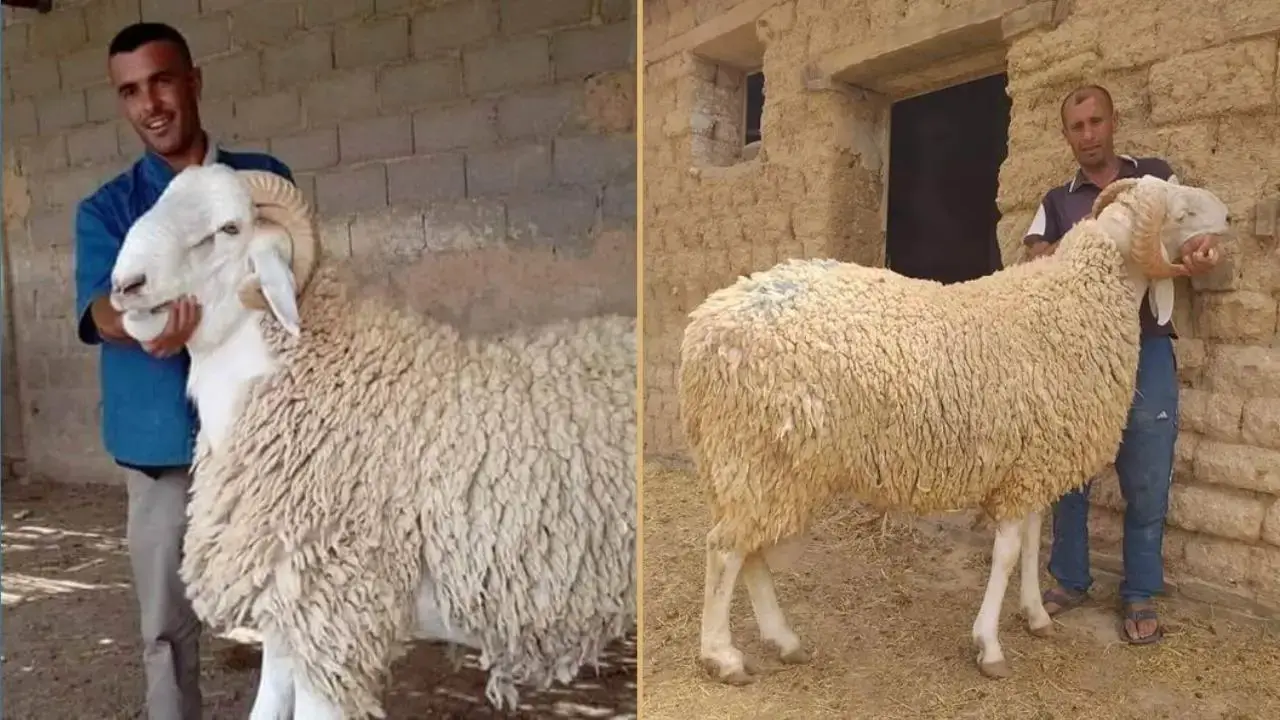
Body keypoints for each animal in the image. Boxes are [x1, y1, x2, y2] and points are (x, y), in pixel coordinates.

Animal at [678, 175, 1229, 684]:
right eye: (1181, 212)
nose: (1226, 217)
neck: (1077, 303)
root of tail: (702, 330)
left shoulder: (1031, 464)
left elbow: (1033, 544)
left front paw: (1036, 616)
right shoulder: (1026, 468)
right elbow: (1006, 555)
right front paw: (989, 646)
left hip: (757, 467)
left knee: (748, 550)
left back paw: (784, 640)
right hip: (757, 455)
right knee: (724, 550)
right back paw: (723, 656)